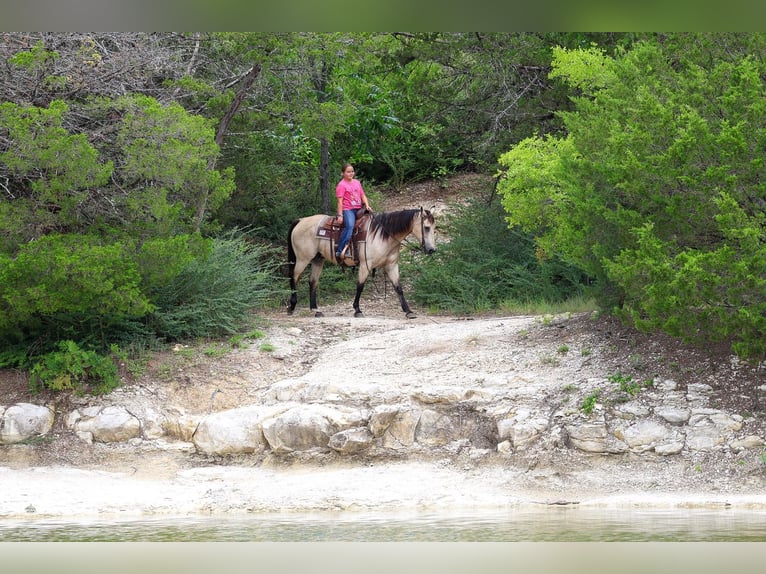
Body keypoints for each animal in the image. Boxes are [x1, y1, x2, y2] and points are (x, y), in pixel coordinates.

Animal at [287, 207, 436, 318]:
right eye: (426, 227)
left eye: (434, 228)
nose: (431, 250)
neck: (382, 235)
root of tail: (300, 220)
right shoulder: (365, 265)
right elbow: (360, 286)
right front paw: (357, 310)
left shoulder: (392, 266)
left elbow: (398, 288)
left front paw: (408, 311)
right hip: (303, 259)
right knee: (294, 278)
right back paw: (292, 306)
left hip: (318, 260)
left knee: (313, 282)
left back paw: (315, 310)